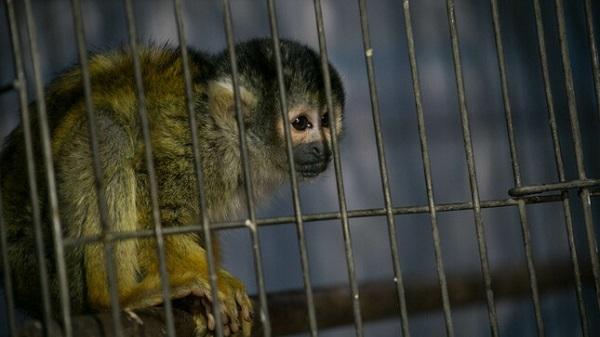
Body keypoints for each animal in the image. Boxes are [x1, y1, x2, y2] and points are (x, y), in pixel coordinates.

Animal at [0, 37, 344, 336]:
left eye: (327, 120)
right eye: (301, 123)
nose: (321, 149)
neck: (227, 140)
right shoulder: (190, 146)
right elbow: (154, 207)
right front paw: (213, 279)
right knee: (107, 131)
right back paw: (116, 297)